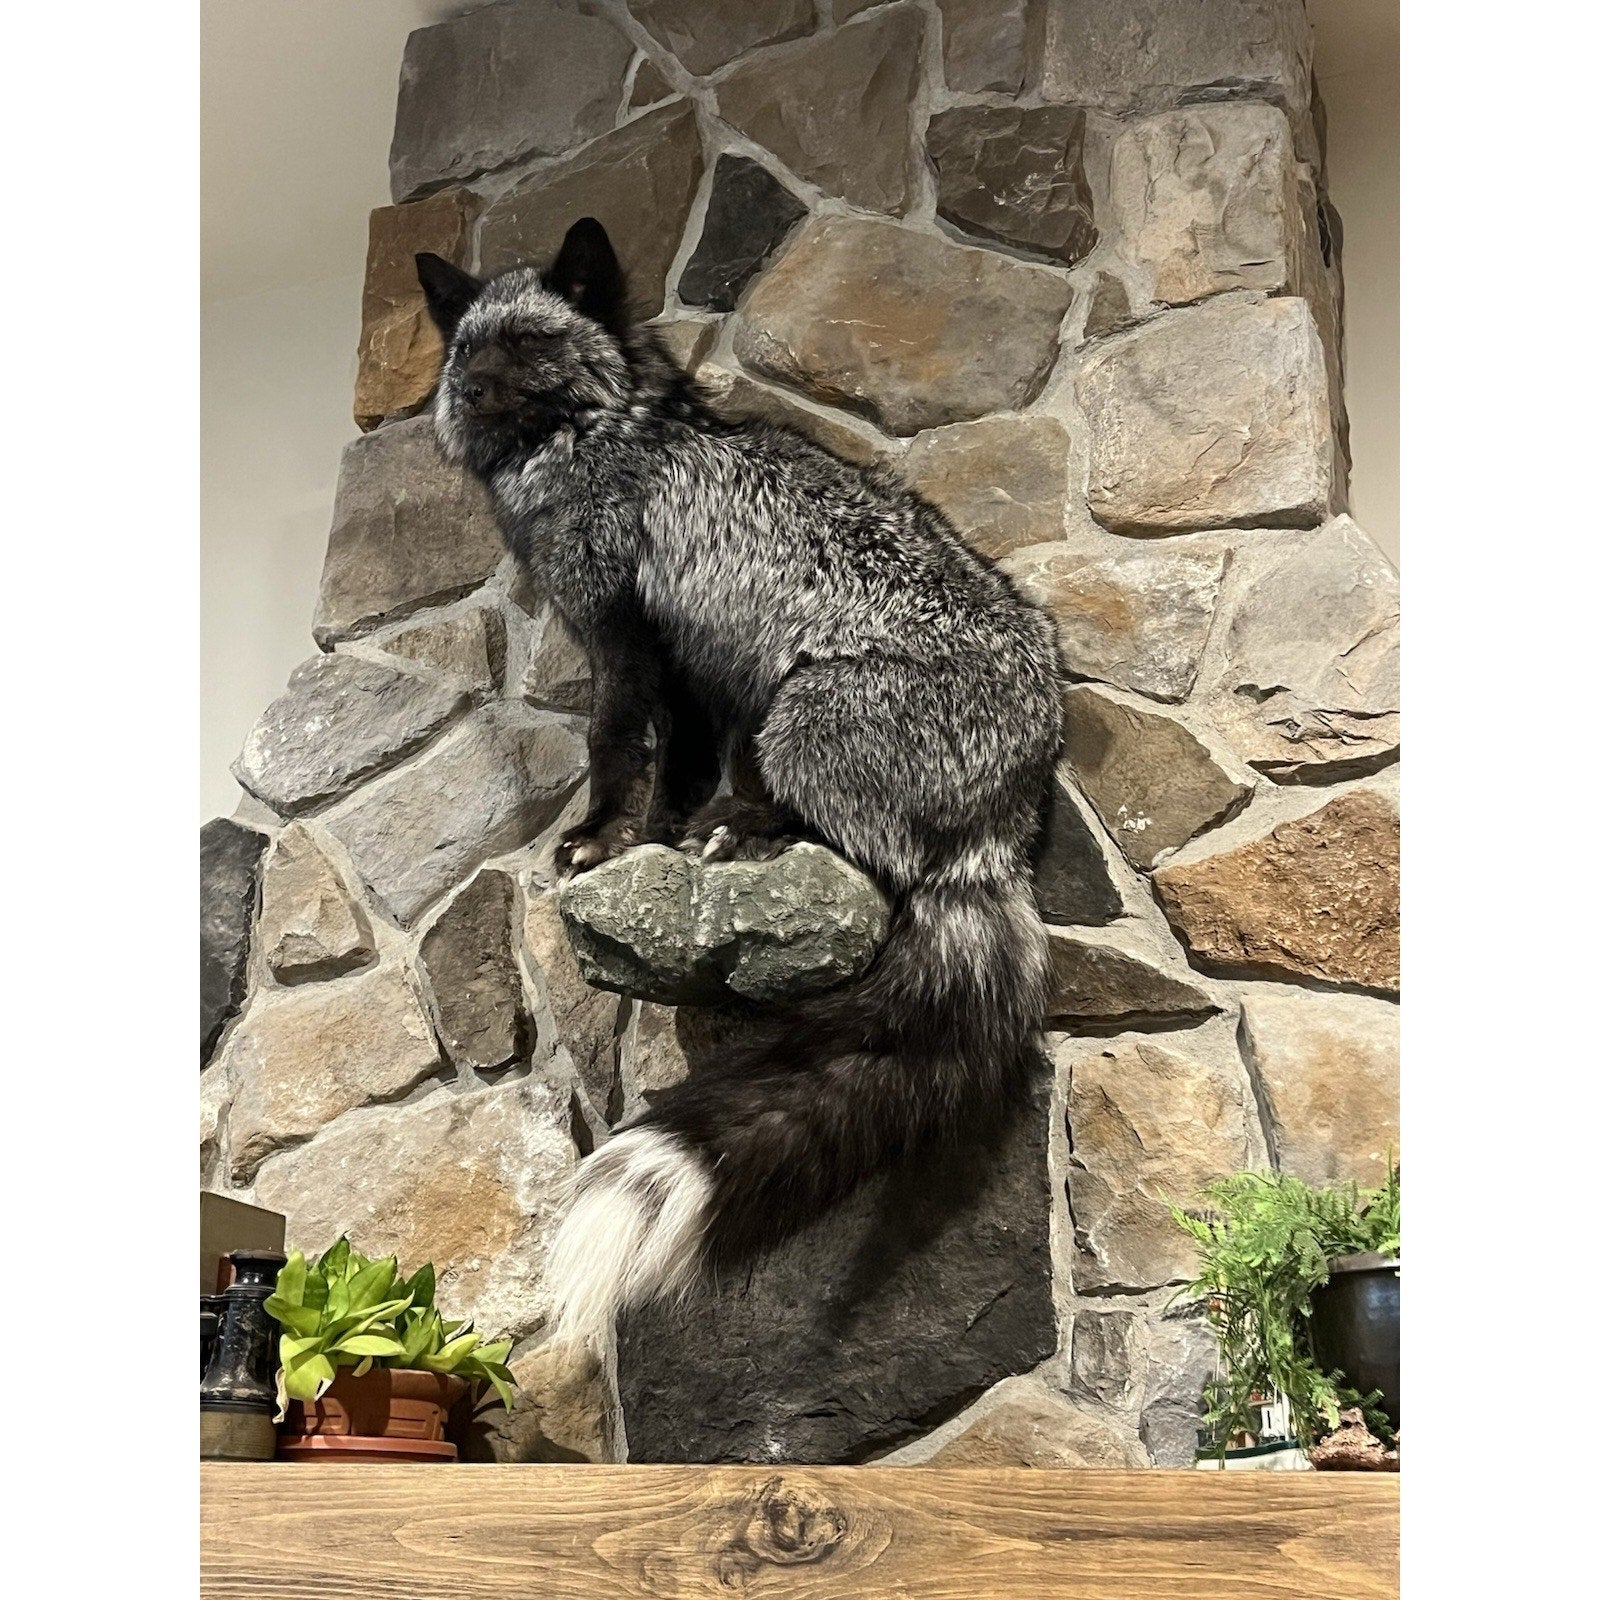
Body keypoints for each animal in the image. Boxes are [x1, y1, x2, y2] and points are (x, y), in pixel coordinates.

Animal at [417, 219, 1065, 1348]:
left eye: (531, 343)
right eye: (468, 350)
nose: (479, 394)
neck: (607, 442)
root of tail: (1006, 820)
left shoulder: (625, 636)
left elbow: (611, 749)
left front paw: (600, 838)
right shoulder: (688, 669)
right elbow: (671, 768)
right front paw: (653, 839)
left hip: (800, 719)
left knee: (877, 865)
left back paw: (755, 832)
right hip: (777, 716)